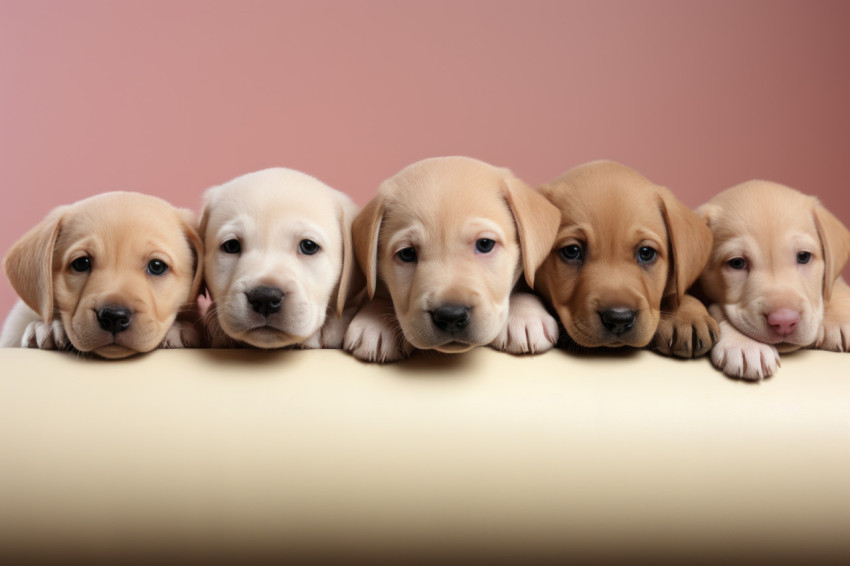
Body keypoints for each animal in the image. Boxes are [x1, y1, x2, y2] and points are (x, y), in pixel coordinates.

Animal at [696, 182, 848, 382]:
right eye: (737, 263)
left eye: (803, 257)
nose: (784, 322)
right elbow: (715, 309)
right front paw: (745, 343)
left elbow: (835, 283)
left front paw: (840, 318)